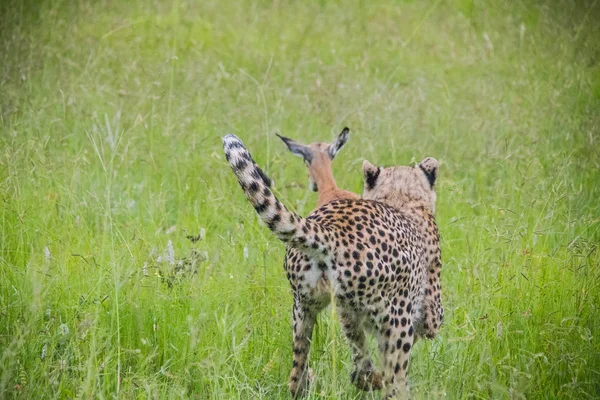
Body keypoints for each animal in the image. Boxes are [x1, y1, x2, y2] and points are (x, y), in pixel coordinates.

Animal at [223, 134, 442, 396]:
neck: (401, 198)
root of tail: (332, 231)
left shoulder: (347, 313)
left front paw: (363, 377)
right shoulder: (428, 315)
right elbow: (422, 332)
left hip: (304, 309)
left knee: (297, 375)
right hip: (395, 322)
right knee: (395, 382)